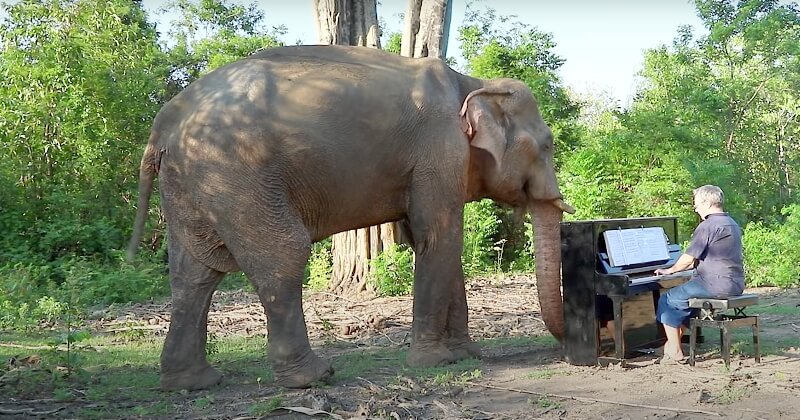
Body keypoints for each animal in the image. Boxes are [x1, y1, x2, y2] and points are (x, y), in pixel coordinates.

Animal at [128, 44, 572, 388]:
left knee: (195, 274)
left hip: (193, 186)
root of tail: (163, 124)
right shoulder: (439, 149)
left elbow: (433, 242)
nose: (560, 349)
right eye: (548, 145)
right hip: (237, 178)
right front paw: (436, 363)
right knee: (282, 257)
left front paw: (466, 354)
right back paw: (312, 377)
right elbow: (438, 236)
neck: (471, 81)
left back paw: (194, 382)